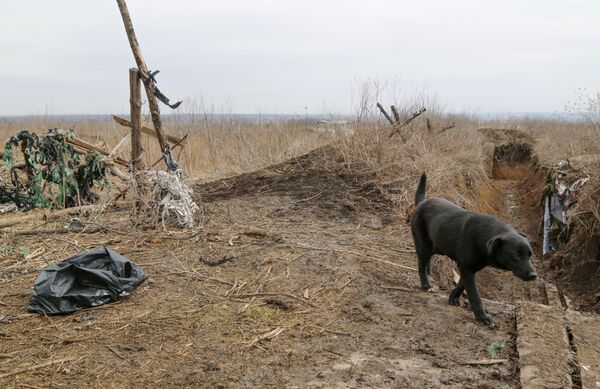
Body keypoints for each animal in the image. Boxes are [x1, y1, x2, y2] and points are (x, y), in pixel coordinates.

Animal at [410, 173, 536, 324]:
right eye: (516, 254)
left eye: (530, 255)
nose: (534, 275)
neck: (483, 239)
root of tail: (421, 202)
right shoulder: (466, 268)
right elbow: (474, 295)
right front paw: (482, 317)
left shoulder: (469, 268)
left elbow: (461, 285)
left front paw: (453, 298)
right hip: (424, 245)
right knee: (420, 265)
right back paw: (426, 285)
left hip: (436, 246)